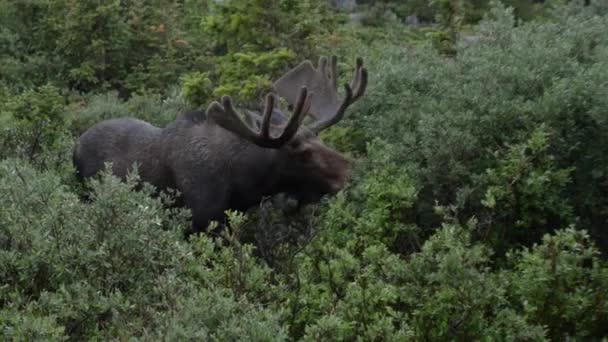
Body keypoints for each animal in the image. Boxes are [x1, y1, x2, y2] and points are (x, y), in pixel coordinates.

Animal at [71, 55, 366, 235]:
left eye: (321, 139)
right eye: (303, 153)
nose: (348, 174)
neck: (245, 182)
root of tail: (74, 146)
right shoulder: (202, 221)